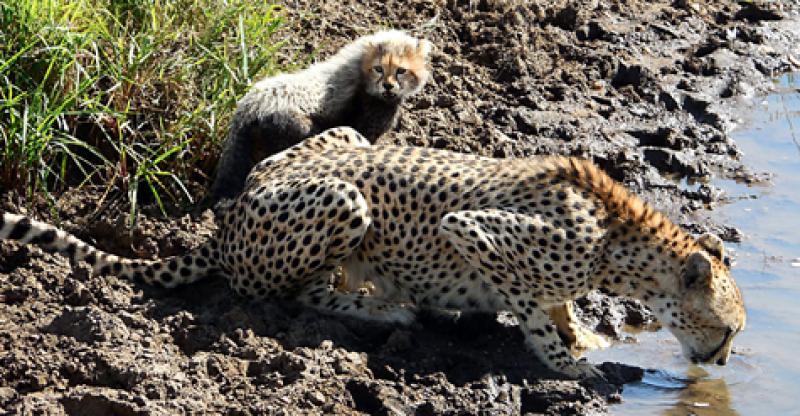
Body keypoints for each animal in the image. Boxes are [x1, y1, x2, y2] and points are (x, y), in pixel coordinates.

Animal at [3, 127, 748, 376]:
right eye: (730, 329)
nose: (721, 363)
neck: (621, 238)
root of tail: (231, 215)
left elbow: (556, 306)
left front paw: (583, 338)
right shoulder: (471, 229)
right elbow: (532, 309)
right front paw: (568, 366)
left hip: (349, 140)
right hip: (345, 202)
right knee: (286, 294)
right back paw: (383, 310)